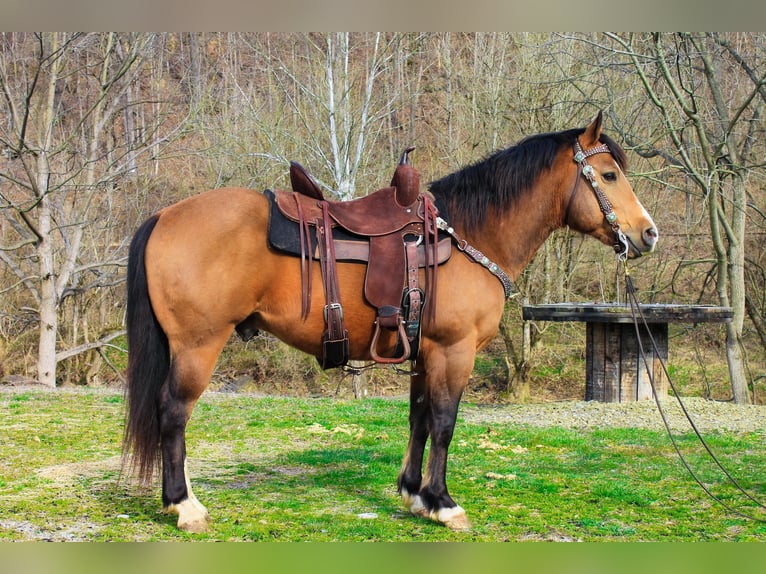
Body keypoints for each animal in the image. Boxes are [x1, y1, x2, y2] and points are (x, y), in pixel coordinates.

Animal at [124, 112, 660, 536]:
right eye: (609, 174)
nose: (648, 233)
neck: (469, 235)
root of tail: (164, 215)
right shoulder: (453, 350)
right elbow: (444, 424)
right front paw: (444, 504)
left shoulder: (425, 353)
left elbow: (419, 419)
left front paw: (414, 494)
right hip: (199, 345)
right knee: (173, 412)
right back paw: (184, 506)